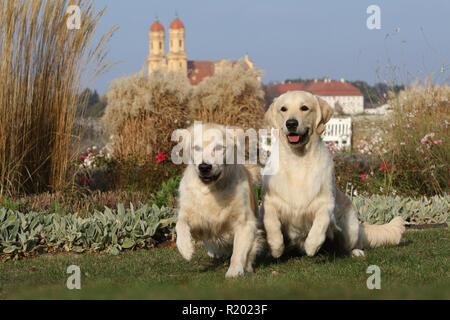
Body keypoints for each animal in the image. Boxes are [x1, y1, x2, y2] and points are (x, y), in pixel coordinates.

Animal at [175, 122, 262, 278]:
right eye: (197, 148)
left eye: (219, 147)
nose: (204, 167)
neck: (212, 190)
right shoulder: (198, 221)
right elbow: (180, 223)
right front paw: (185, 248)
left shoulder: (245, 222)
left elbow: (238, 251)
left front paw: (235, 270)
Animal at [260, 90, 404, 258]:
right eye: (283, 109)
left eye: (304, 108)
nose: (291, 123)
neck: (298, 159)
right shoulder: (269, 201)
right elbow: (271, 223)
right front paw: (275, 248)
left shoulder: (327, 201)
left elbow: (320, 222)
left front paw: (311, 246)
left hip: (350, 229)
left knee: (351, 244)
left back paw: (355, 252)